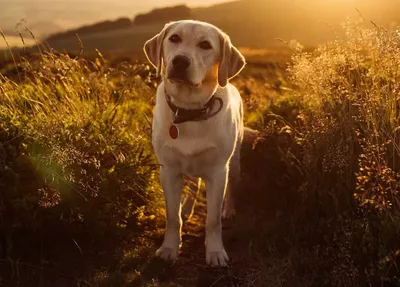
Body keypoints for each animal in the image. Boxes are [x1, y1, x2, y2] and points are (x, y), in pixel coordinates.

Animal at [142, 19, 245, 268]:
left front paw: (215, 252)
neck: (188, 111)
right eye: (174, 38)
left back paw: (229, 209)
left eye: (205, 45)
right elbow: (172, 217)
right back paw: (187, 208)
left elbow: (213, 220)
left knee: (232, 186)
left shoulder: (218, 171)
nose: (180, 61)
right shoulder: (168, 170)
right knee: (193, 185)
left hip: (234, 162)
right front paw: (169, 248)